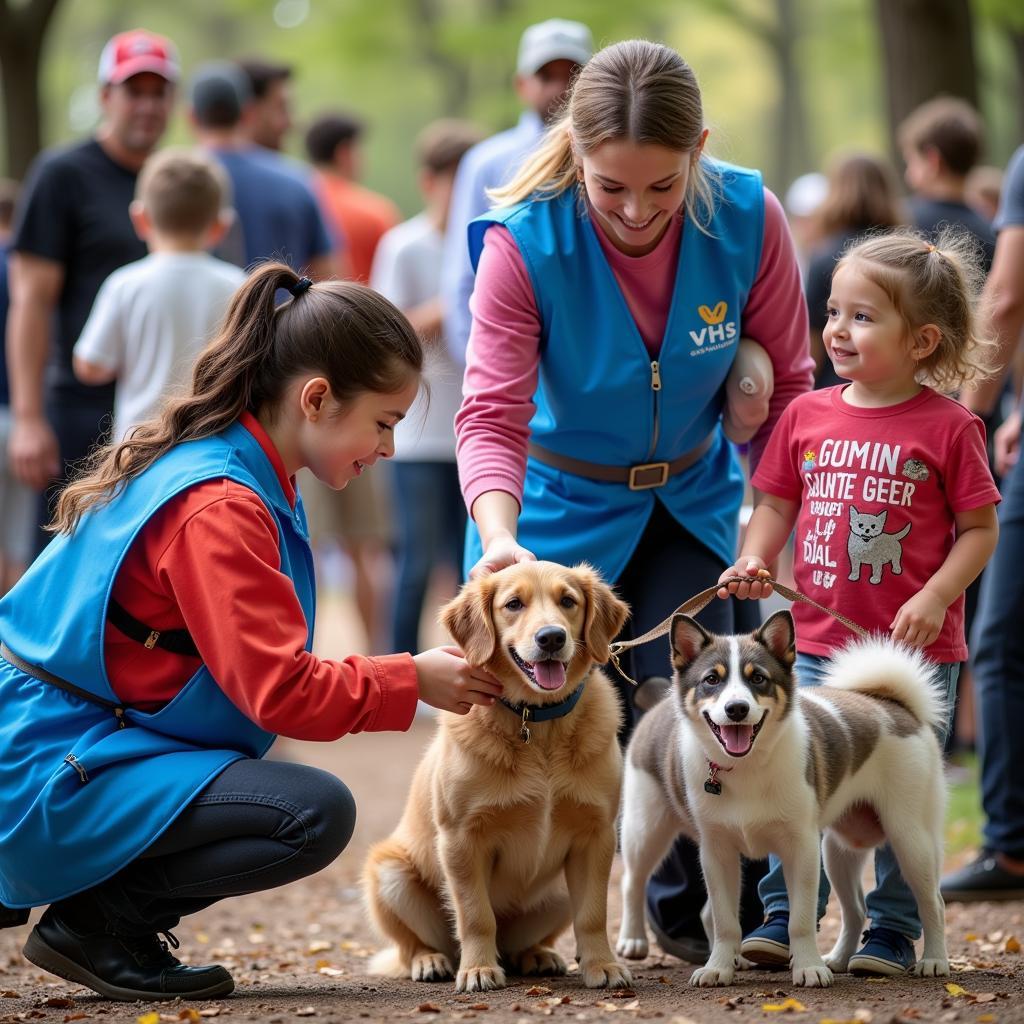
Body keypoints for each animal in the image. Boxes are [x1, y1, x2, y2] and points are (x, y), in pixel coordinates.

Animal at [360, 561, 630, 991]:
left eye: (568, 601)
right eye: (513, 604)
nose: (551, 637)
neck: (537, 723)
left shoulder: (596, 836)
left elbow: (592, 915)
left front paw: (601, 965)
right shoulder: (462, 839)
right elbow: (476, 916)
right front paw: (478, 969)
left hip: (558, 893)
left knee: (527, 943)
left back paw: (536, 955)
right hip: (390, 874)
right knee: (412, 946)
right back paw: (431, 960)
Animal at [610, 610, 946, 987]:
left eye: (758, 678)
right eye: (711, 679)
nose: (737, 709)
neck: (746, 766)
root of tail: (895, 705)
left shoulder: (802, 849)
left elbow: (800, 919)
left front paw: (808, 966)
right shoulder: (717, 852)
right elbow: (725, 920)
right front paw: (718, 966)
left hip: (909, 838)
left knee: (931, 903)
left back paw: (933, 960)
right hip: (647, 828)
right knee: (634, 882)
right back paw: (634, 939)